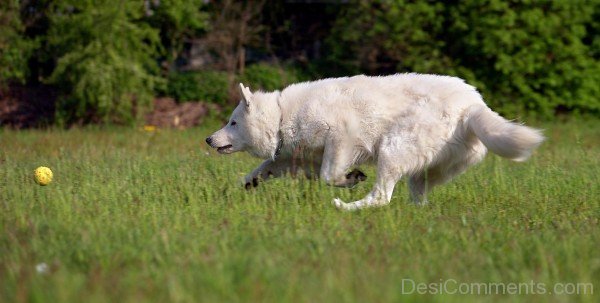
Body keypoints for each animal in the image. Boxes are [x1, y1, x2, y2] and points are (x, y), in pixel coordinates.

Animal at [205, 74, 544, 211]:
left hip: (393, 149)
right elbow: (268, 164)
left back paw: (346, 207)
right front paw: (249, 182)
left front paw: (350, 178)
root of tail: (473, 105)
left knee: (381, 197)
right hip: (423, 170)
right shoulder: (298, 157)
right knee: (414, 198)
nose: (208, 139)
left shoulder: (340, 136)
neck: (282, 115)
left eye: (232, 122)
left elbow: (329, 175)